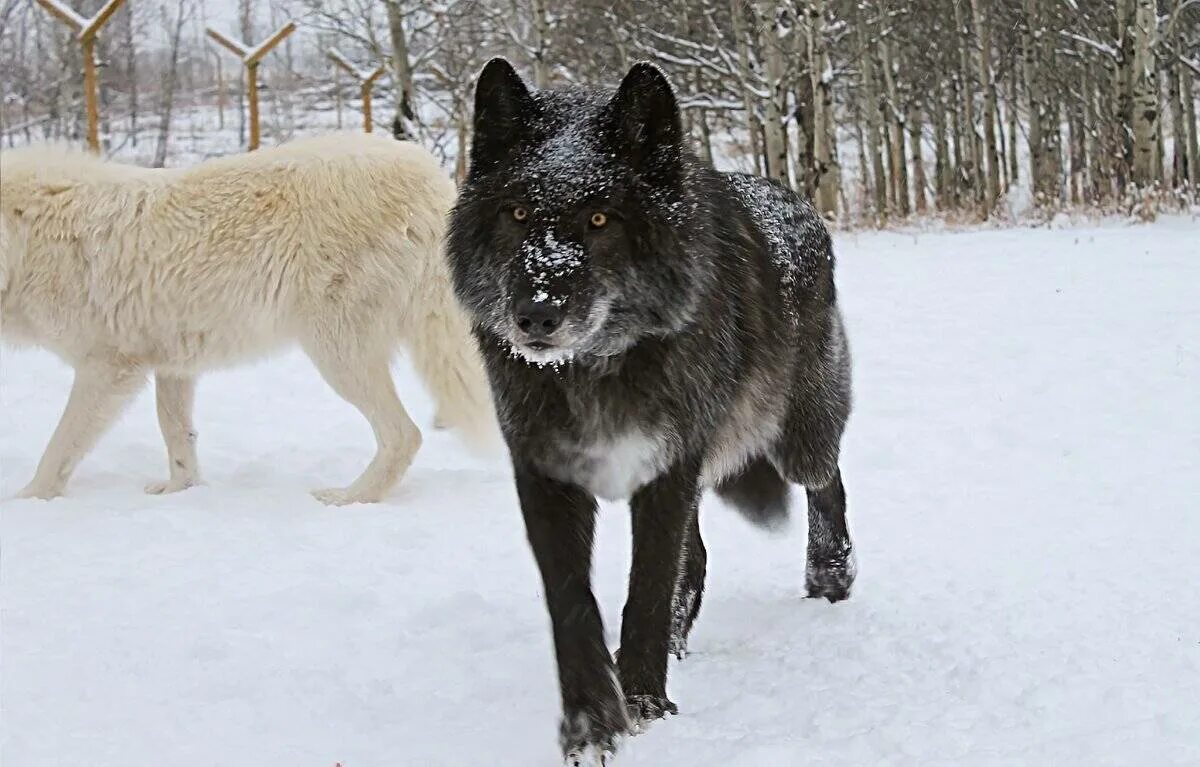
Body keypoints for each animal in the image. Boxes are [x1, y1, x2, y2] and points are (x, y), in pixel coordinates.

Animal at [0, 132, 494, 504]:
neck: (25, 239)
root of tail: (428, 175)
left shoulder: (106, 369)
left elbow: (59, 446)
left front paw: (27, 500)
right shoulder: (172, 364)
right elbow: (177, 436)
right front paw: (181, 491)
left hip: (336, 353)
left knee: (403, 434)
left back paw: (348, 498)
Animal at [448, 58, 854, 763]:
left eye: (600, 219)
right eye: (518, 212)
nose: (535, 316)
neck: (594, 367)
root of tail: (796, 200)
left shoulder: (668, 468)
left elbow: (647, 587)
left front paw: (642, 700)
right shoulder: (546, 475)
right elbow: (572, 602)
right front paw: (591, 721)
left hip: (794, 437)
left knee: (826, 480)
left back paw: (831, 575)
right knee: (700, 558)